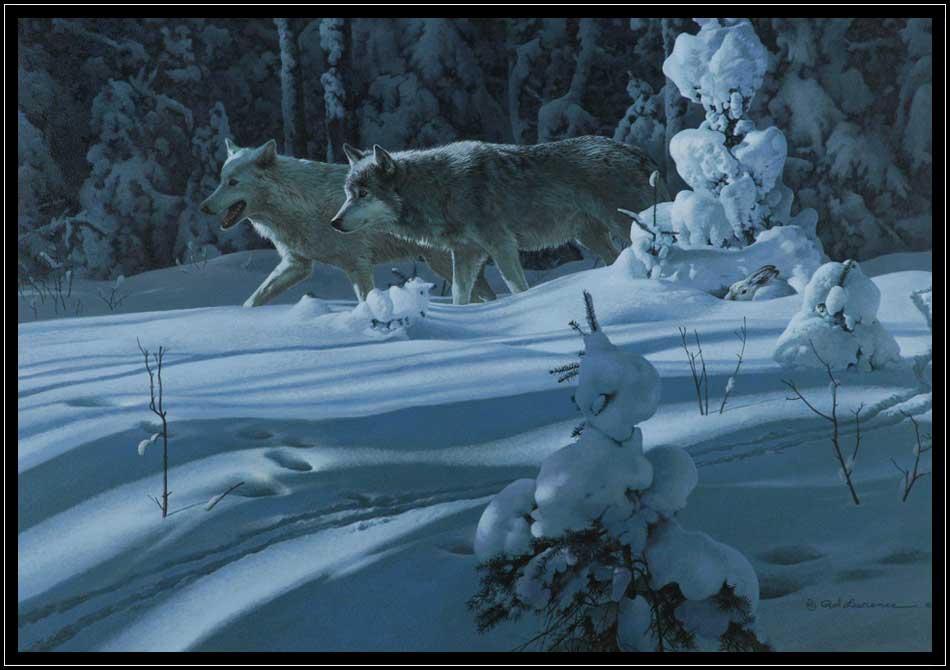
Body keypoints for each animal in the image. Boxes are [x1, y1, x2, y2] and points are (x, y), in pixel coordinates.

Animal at [201, 143, 498, 312]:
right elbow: (255, 298)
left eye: (233, 183)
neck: (299, 205)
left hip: (441, 263)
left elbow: (366, 299)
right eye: (221, 180)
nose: (203, 207)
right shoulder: (297, 264)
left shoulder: (358, 266)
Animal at [330, 136, 664, 304]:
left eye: (363, 194)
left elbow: (516, 287)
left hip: (626, 225)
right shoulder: (466, 253)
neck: (440, 190)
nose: (334, 222)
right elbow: (459, 295)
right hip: (591, 237)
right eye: (348, 194)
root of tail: (637, 151)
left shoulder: (501, 245)